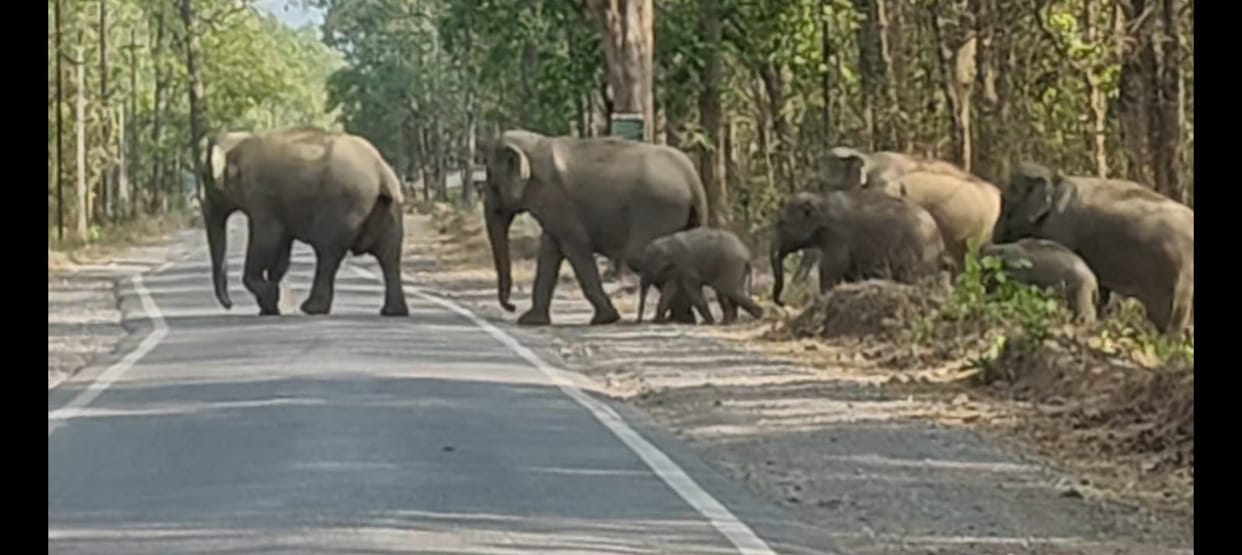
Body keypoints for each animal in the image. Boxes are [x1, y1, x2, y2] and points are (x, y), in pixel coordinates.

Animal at [200, 125, 409, 317]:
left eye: (207, 183)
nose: (229, 305)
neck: (240, 139)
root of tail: (381, 171)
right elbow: (281, 251)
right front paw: (269, 307)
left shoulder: (262, 197)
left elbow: (266, 239)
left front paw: (269, 298)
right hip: (390, 208)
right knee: (389, 256)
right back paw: (393, 312)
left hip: (345, 205)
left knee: (328, 253)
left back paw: (311, 309)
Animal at [482, 129, 708, 326]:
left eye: (491, 179)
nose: (511, 306)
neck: (537, 143)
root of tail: (691, 176)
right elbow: (549, 251)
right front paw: (531, 321)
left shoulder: (557, 201)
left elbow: (574, 249)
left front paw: (605, 319)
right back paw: (682, 318)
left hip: (659, 208)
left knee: (640, 257)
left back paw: (680, 318)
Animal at [635, 228, 764, 325]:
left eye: (648, 266)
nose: (638, 321)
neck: (666, 242)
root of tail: (746, 255)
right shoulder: (678, 270)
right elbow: (670, 290)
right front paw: (657, 321)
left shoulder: (686, 267)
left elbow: (692, 292)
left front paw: (708, 323)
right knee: (728, 292)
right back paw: (730, 321)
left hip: (731, 266)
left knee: (730, 291)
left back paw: (756, 315)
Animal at [772, 190, 947, 305]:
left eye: (781, 223)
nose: (782, 302)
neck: (822, 199)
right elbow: (849, 274)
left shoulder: (838, 238)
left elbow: (829, 271)